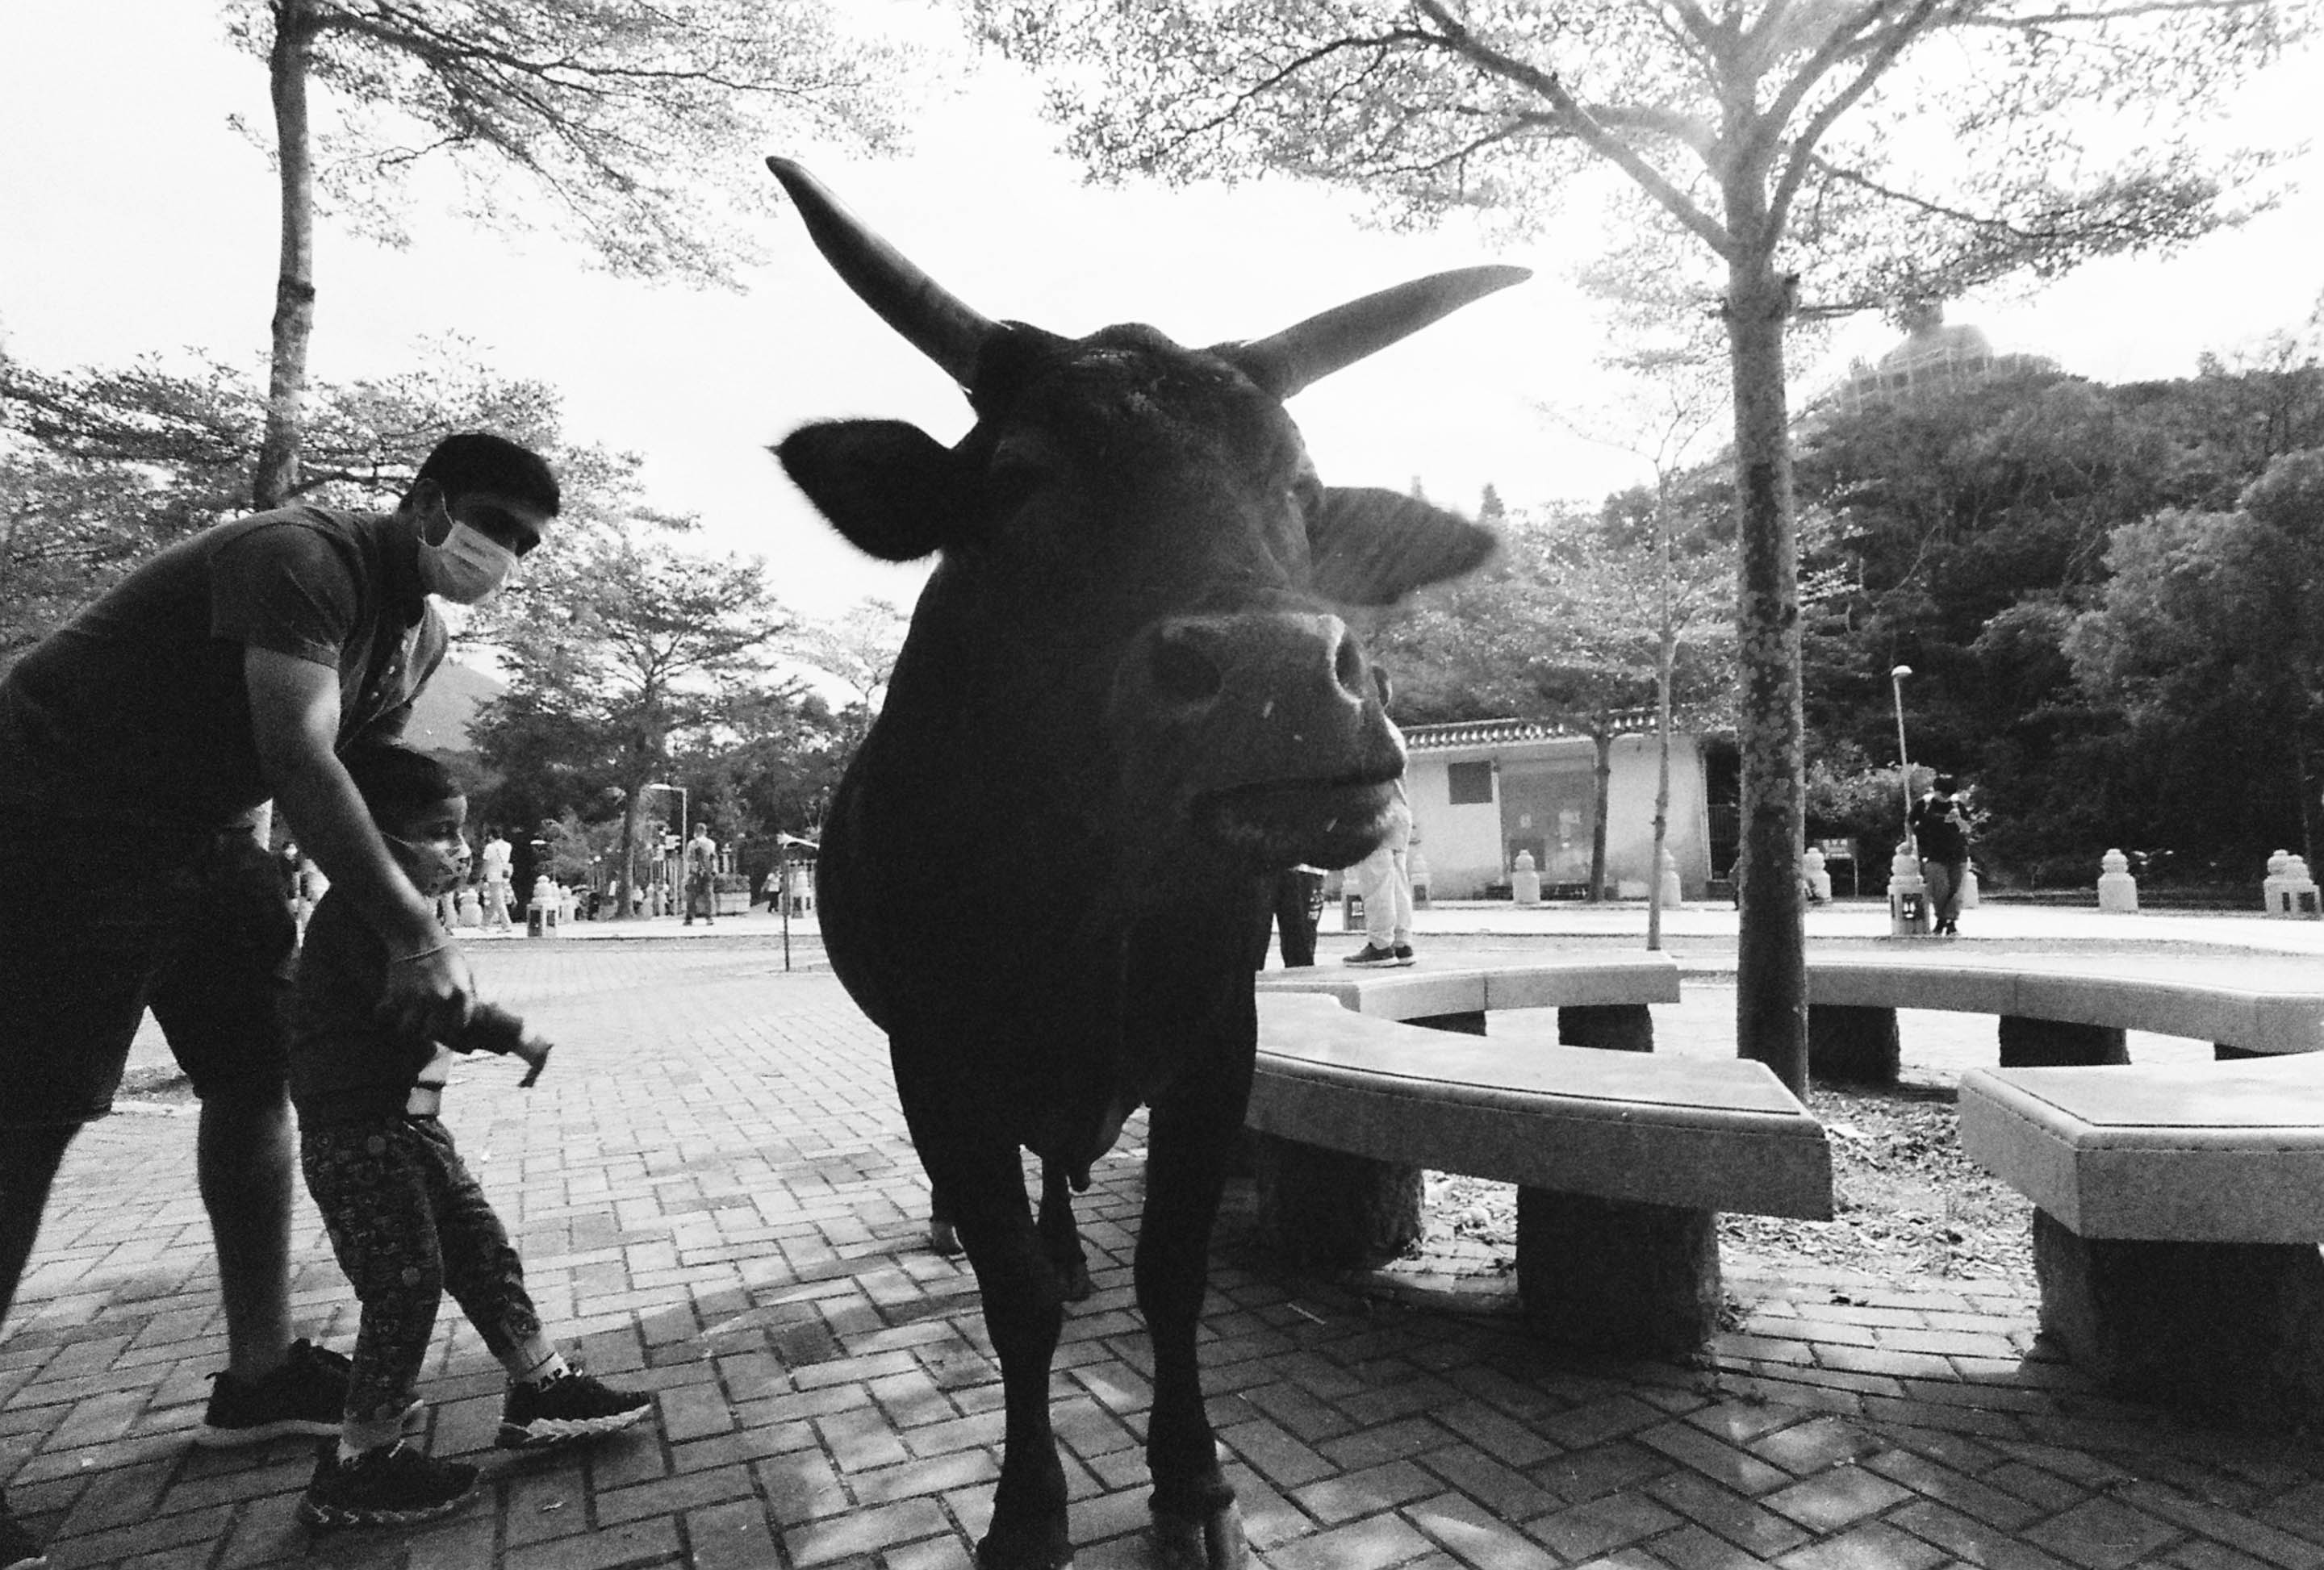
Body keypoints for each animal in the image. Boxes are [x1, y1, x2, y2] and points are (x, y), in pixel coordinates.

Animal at [767, 157, 1524, 1569]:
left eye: (1303, 492)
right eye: (1018, 478)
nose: (1283, 683)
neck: (1090, 906)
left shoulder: (1214, 1044)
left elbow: (1172, 1274)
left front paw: (1193, 1484)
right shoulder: (938, 1055)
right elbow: (1012, 1297)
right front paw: (1027, 1511)